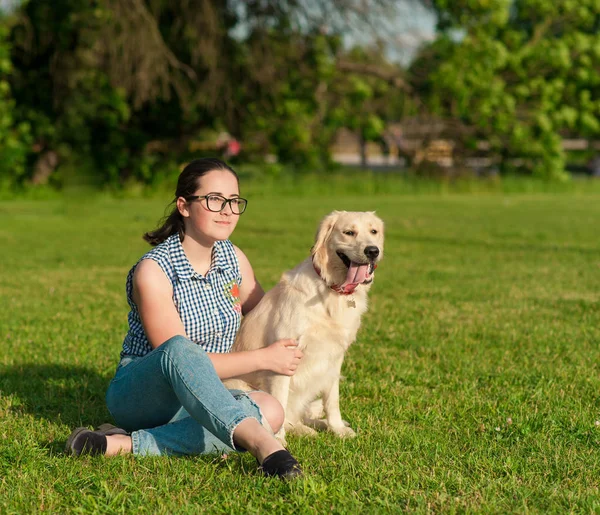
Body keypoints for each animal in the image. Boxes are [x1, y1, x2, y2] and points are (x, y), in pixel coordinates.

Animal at [225, 212, 384, 446]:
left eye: (374, 231)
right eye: (349, 232)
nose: (372, 251)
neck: (331, 290)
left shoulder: (334, 357)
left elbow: (332, 400)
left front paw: (337, 428)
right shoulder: (284, 356)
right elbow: (279, 403)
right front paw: (278, 440)